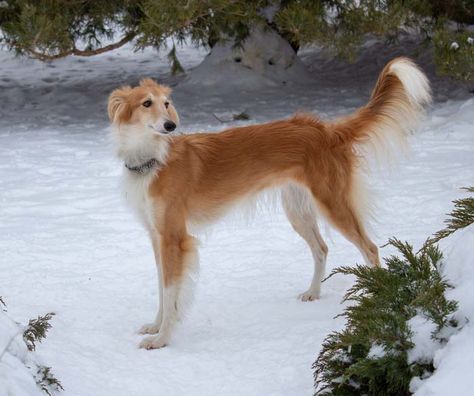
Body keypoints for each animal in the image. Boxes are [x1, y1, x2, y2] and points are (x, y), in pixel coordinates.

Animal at [108, 57, 434, 348]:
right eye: (146, 103)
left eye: (166, 103)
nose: (171, 126)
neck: (153, 159)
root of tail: (326, 130)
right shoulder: (157, 236)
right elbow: (162, 287)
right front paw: (155, 325)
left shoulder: (175, 238)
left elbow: (171, 291)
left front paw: (162, 339)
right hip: (298, 209)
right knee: (322, 248)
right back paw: (313, 292)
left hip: (333, 204)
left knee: (370, 249)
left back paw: (380, 301)